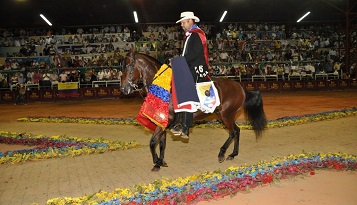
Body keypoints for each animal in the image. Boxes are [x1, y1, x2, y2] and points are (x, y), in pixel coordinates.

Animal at [121, 51, 266, 171]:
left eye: (128, 66)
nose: (123, 89)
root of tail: (240, 87)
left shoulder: (167, 121)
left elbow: (152, 142)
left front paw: (157, 162)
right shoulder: (161, 121)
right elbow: (161, 143)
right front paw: (160, 162)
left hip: (226, 115)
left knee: (233, 132)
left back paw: (222, 153)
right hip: (223, 115)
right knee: (237, 131)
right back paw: (233, 154)